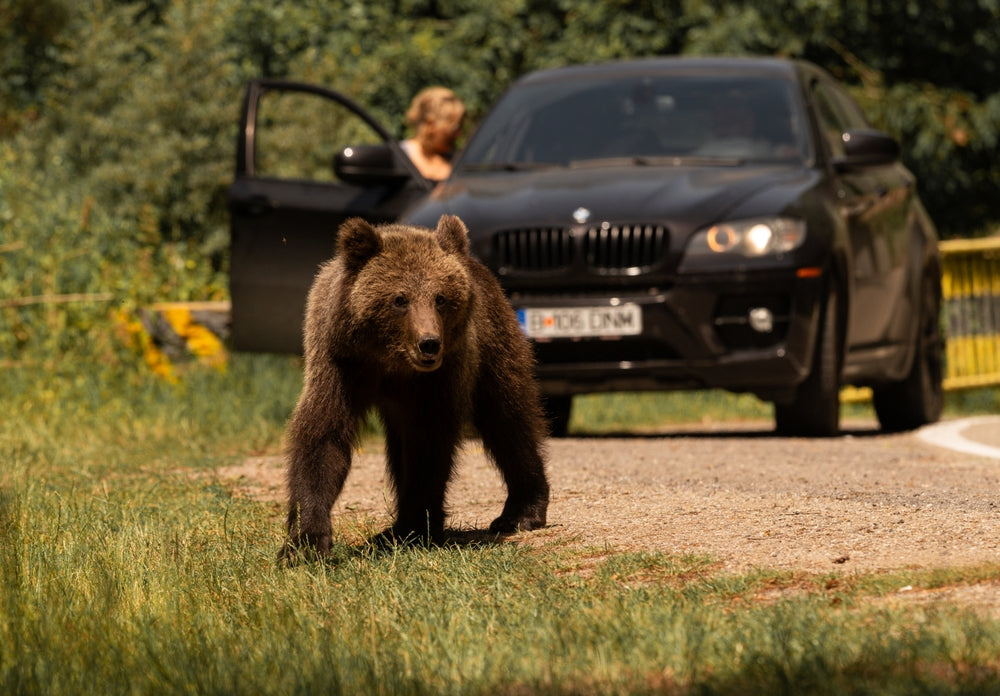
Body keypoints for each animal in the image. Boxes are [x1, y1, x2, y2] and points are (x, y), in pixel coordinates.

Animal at [279, 214, 550, 559]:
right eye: (399, 299)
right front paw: (306, 542)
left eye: (441, 297)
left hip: (493, 341)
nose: (429, 343)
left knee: (508, 418)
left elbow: (428, 444)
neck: (390, 361)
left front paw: (417, 528)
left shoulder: (438, 377)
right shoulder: (339, 362)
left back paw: (521, 511)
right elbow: (323, 436)